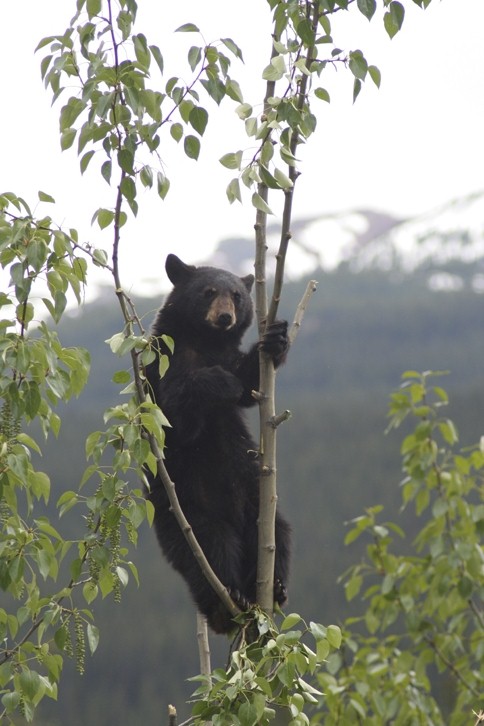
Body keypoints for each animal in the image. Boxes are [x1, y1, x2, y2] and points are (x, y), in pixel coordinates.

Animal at [145, 253, 292, 636]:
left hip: (256, 499)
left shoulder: (230, 359)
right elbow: (176, 414)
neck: (205, 343)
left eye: (237, 296)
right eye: (209, 291)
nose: (225, 317)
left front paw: (276, 338)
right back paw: (227, 602)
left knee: (277, 533)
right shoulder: (161, 364)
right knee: (212, 549)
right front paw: (218, 382)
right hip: (189, 514)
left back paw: (274, 588)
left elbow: (249, 383)